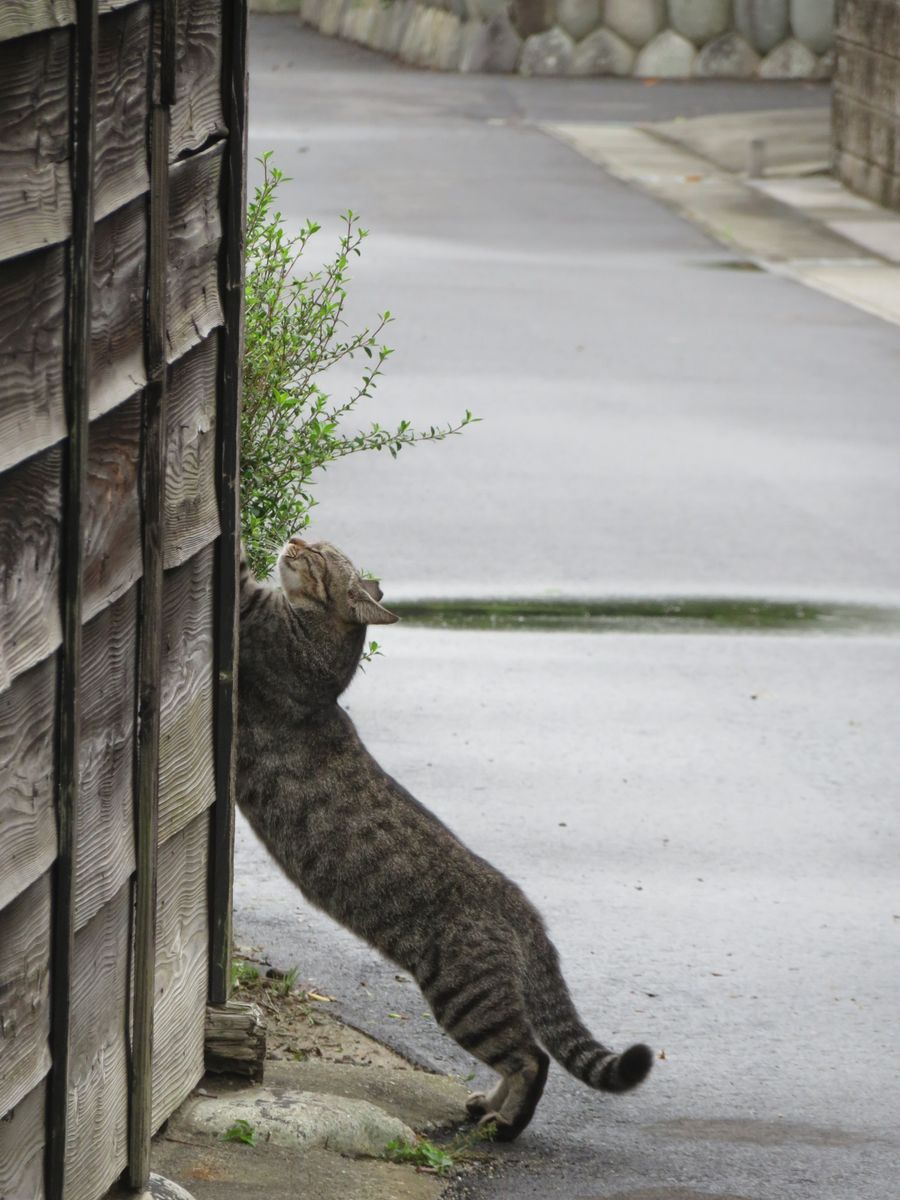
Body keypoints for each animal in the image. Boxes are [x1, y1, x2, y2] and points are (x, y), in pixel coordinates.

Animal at [236, 540, 652, 1137]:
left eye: (317, 555)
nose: (294, 542)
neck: (324, 652)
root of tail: (524, 909)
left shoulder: (254, 619)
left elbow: (239, 564)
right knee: (522, 1056)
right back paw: (488, 1106)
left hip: (465, 998)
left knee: (532, 1058)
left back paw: (507, 1125)